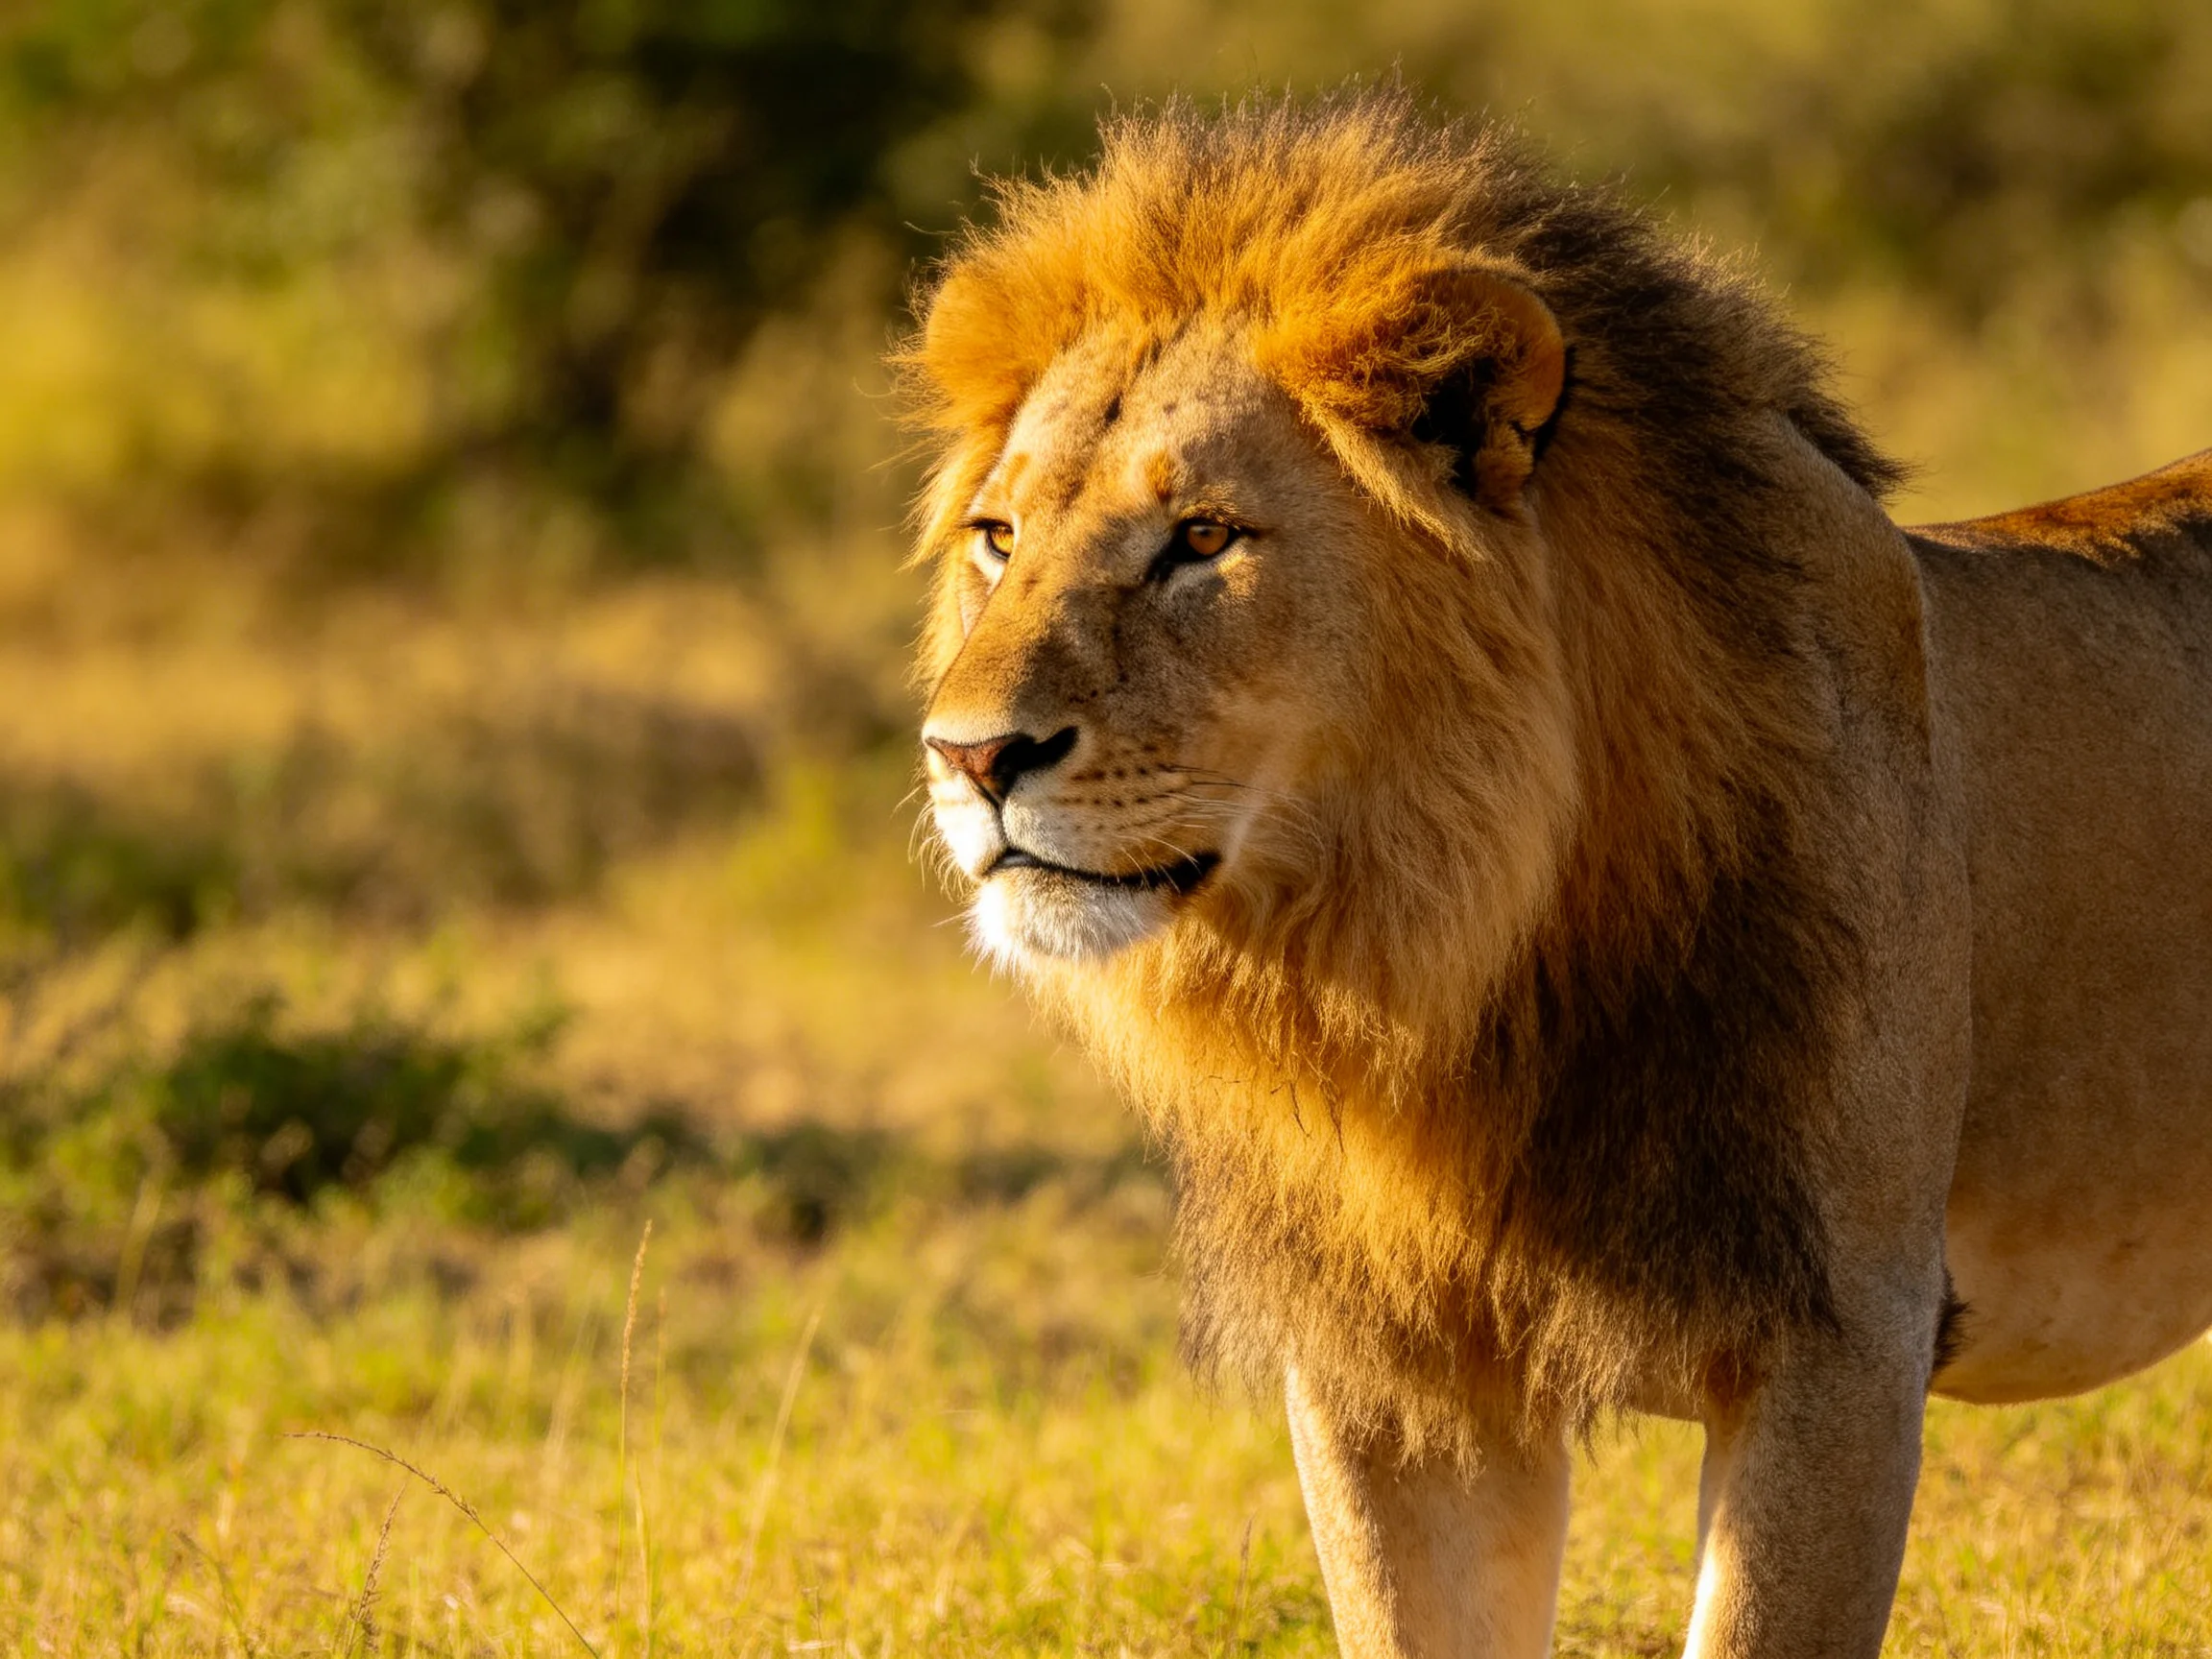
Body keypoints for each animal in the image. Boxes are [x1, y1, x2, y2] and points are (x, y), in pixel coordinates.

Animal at [899, 89, 2212, 1657]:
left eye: (1203, 539)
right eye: (999, 537)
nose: (970, 756)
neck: (1444, 962)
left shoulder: (1842, 1343)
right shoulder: (1393, 1376)